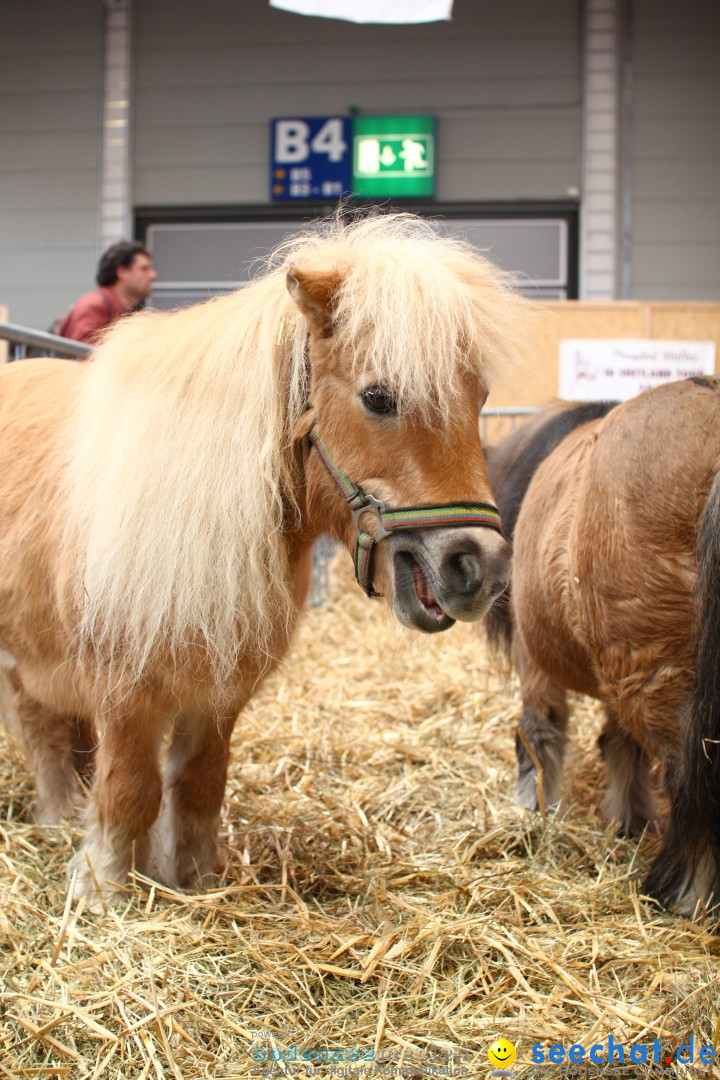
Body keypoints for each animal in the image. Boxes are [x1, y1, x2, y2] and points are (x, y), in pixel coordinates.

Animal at [0, 212, 524, 902]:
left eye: (479, 397)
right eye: (379, 397)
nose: (480, 565)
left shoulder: (222, 693)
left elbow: (198, 785)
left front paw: (194, 877)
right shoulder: (125, 693)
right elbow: (130, 790)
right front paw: (105, 888)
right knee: (40, 729)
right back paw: (61, 816)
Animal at [483, 382, 720, 920]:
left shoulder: (535, 664)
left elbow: (537, 736)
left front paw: (532, 810)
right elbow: (620, 746)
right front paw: (628, 819)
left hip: (657, 675)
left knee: (691, 782)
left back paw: (686, 893)